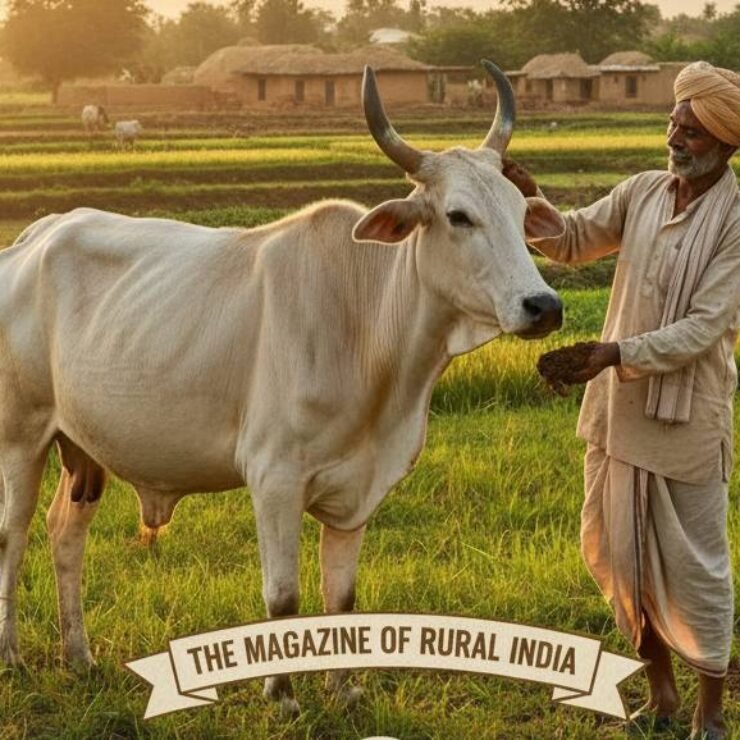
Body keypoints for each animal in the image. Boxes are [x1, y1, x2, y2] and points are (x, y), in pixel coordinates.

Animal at [0, 62, 562, 715]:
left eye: (520, 214)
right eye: (458, 215)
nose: (543, 306)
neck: (368, 325)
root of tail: (38, 235)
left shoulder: (356, 492)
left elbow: (341, 598)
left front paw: (344, 689)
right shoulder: (274, 479)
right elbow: (284, 595)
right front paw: (284, 694)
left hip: (83, 448)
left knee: (65, 534)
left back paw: (79, 657)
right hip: (23, 437)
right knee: (14, 535)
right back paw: (13, 655)